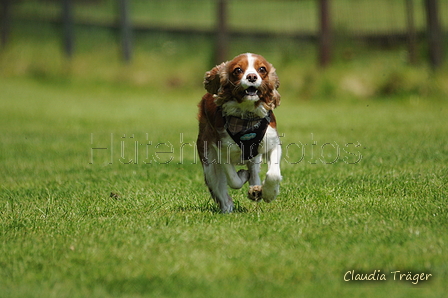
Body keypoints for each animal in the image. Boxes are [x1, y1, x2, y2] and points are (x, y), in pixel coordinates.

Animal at [198, 53, 282, 212]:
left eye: (262, 69)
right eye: (238, 70)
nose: (252, 77)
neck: (246, 116)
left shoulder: (272, 142)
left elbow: (273, 174)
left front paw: (268, 193)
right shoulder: (222, 149)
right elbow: (234, 180)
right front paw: (242, 175)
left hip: (254, 156)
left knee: (254, 172)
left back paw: (256, 190)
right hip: (208, 159)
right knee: (218, 185)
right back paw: (227, 208)